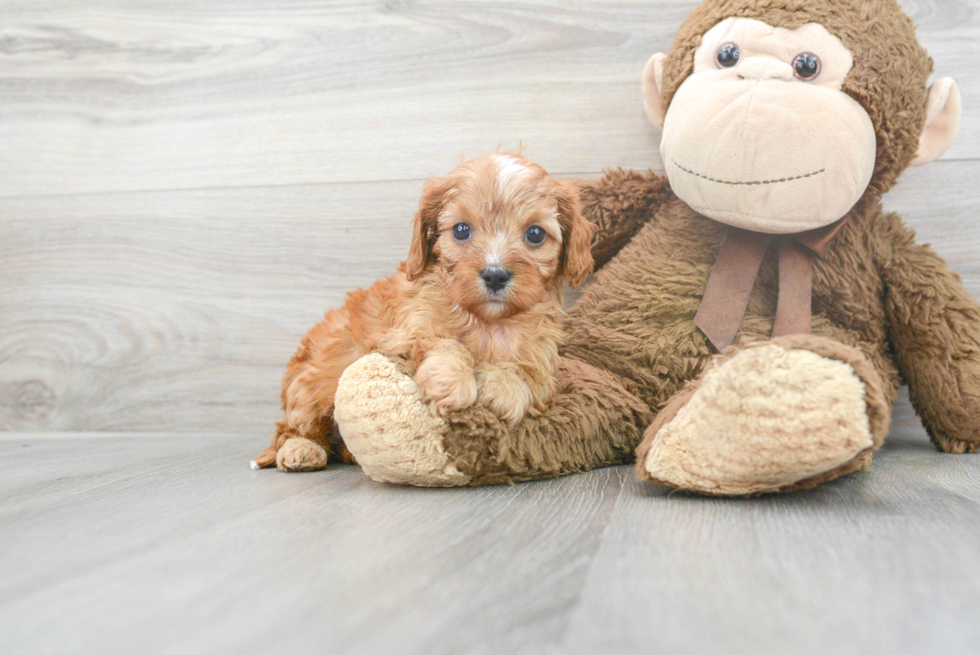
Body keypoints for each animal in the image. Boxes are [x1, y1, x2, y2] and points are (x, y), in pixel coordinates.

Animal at [249, 154, 592, 472]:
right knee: (292, 427)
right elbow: (443, 342)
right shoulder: (402, 334)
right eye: (461, 230)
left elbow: (526, 373)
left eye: (535, 234)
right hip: (312, 383)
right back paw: (301, 450)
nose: (495, 275)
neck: (488, 322)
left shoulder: (543, 364)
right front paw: (451, 382)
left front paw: (503, 388)